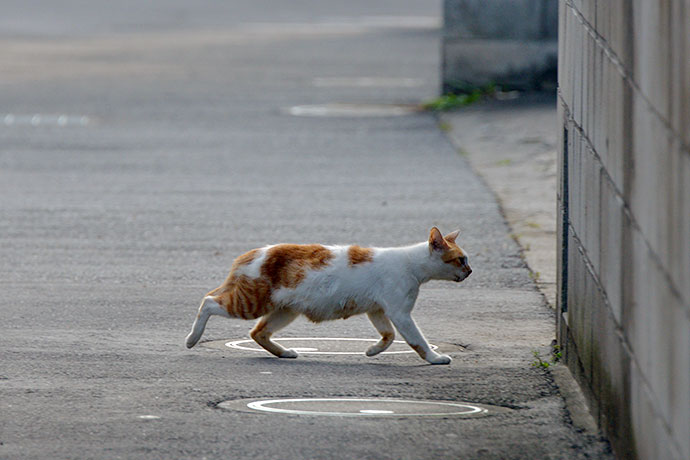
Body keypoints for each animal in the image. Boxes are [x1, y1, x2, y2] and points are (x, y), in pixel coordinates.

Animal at [185, 226, 470, 362]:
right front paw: (434, 358)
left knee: (258, 333)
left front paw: (373, 351)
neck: (412, 264)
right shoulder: (400, 313)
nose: (470, 271)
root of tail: (250, 254)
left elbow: (388, 336)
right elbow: (417, 340)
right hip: (252, 302)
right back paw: (192, 338)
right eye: (460, 260)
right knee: (208, 302)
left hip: (284, 310)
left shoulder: (378, 310)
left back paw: (284, 353)